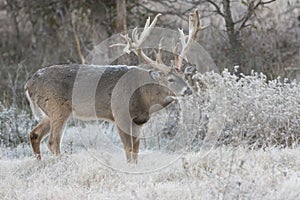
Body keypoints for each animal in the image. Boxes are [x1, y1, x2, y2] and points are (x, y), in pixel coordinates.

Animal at [24, 8, 203, 163]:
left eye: (185, 77)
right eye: (171, 79)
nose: (188, 91)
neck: (144, 97)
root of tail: (29, 84)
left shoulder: (139, 121)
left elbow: (136, 149)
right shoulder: (120, 114)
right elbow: (128, 149)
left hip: (49, 112)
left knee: (34, 134)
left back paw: (40, 163)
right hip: (57, 107)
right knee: (53, 141)